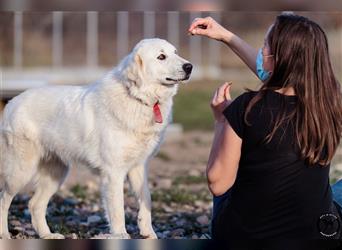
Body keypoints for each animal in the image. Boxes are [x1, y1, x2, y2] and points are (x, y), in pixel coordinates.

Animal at [0, 38, 192, 239]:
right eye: (161, 56)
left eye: (175, 52)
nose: (189, 66)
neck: (137, 98)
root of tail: (12, 102)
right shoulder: (113, 172)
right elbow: (118, 209)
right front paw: (121, 235)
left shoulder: (138, 166)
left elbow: (146, 198)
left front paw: (149, 234)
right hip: (20, 171)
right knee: (4, 199)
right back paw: (5, 234)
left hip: (56, 173)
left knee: (34, 204)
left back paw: (48, 235)